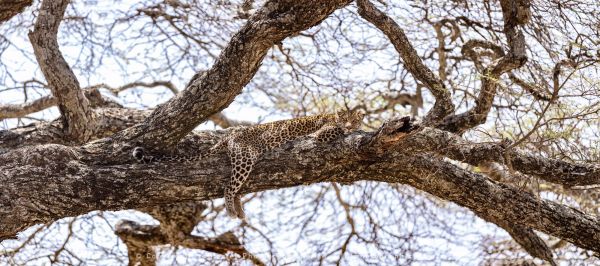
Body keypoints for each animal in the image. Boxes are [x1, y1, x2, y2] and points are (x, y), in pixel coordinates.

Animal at [133, 109, 364, 219]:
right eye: (346, 119)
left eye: (355, 119)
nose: (350, 124)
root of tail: (230, 136)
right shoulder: (321, 133)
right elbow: (337, 131)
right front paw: (354, 130)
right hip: (244, 158)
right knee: (229, 187)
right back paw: (231, 210)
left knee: (236, 187)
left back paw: (239, 209)